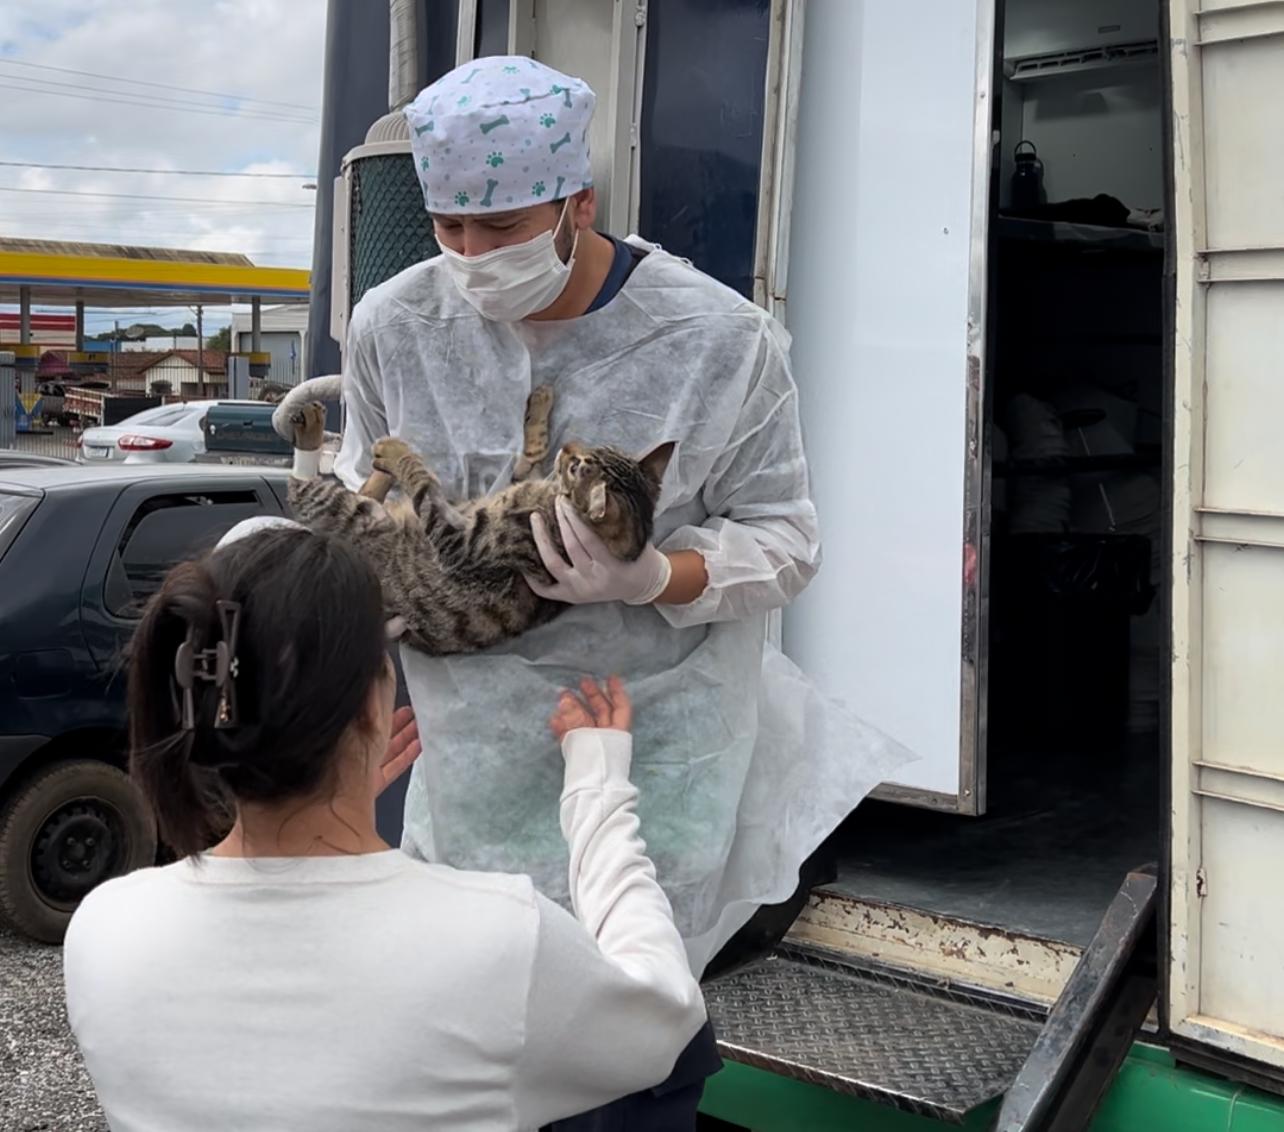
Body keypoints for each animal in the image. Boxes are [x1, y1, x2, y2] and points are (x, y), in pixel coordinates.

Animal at [287, 385, 677, 651]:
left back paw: (334, 436)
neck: (552, 507)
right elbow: (534, 449)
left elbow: (422, 481)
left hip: (350, 512)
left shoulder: (458, 544)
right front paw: (541, 402)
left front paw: (399, 454)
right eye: (589, 453)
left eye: (578, 467)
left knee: (301, 486)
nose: (569, 447)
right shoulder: (522, 478)